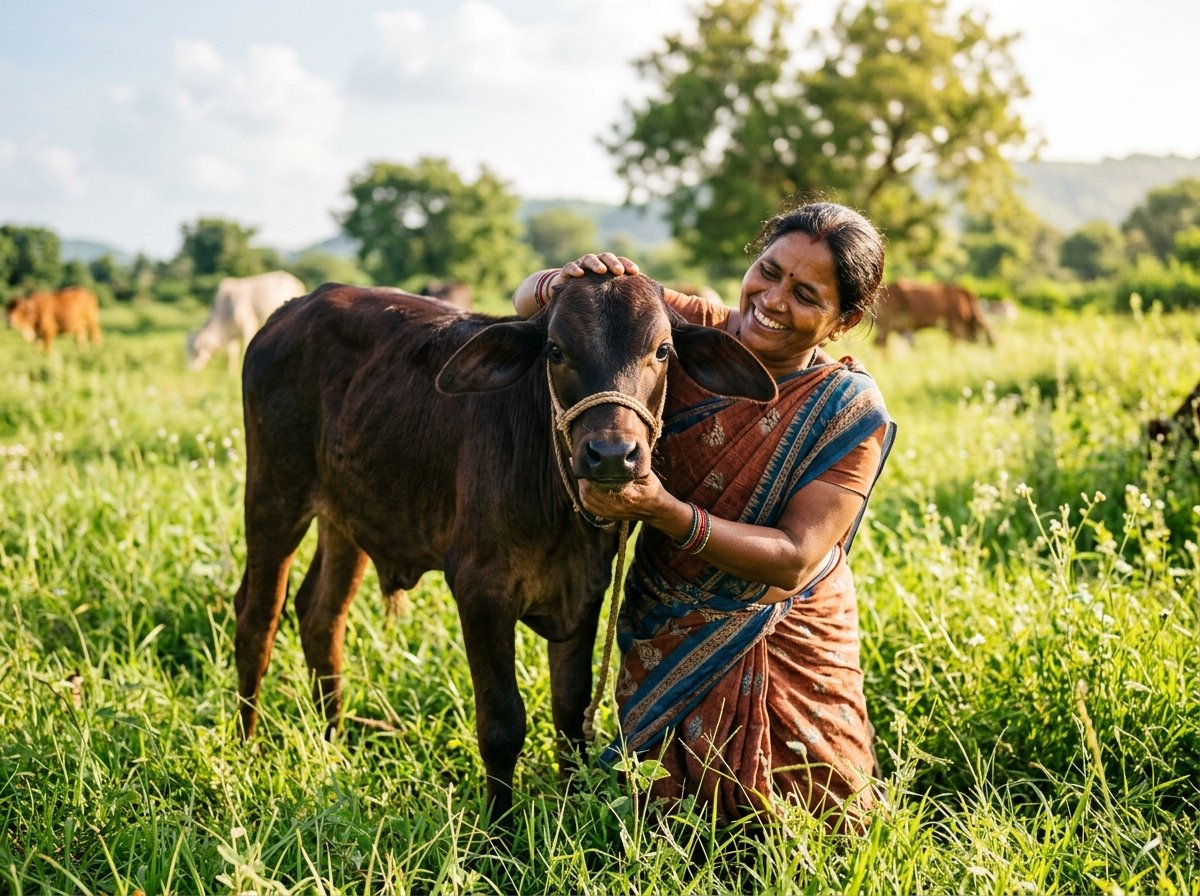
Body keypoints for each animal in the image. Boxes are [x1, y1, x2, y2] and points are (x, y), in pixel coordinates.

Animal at [233, 274, 776, 824]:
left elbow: (570, 714)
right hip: (274, 497)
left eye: (662, 350)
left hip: (347, 518)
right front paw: (499, 832)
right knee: (258, 616)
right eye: (556, 350)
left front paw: (570, 809)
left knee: (321, 615)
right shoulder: (480, 593)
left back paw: (334, 738)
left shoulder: (584, 593)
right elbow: (501, 724)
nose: (611, 456)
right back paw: (247, 749)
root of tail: (293, 309)